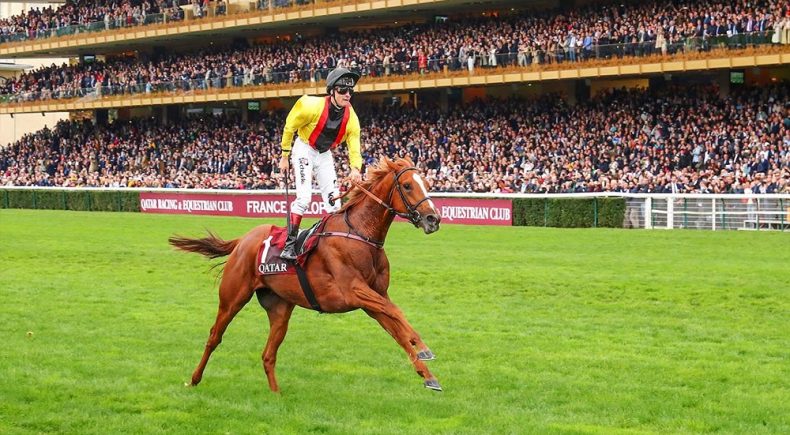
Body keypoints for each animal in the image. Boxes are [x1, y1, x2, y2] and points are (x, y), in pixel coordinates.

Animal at [171, 158, 446, 394]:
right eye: (408, 185)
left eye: (427, 183)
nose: (433, 219)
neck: (360, 234)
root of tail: (242, 240)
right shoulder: (355, 291)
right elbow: (397, 313)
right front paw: (423, 348)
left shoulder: (373, 298)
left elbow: (397, 328)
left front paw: (428, 375)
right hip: (232, 297)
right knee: (214, 337)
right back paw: (194, 379)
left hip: (280, 309)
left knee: (268, 354)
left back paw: (276, 394)